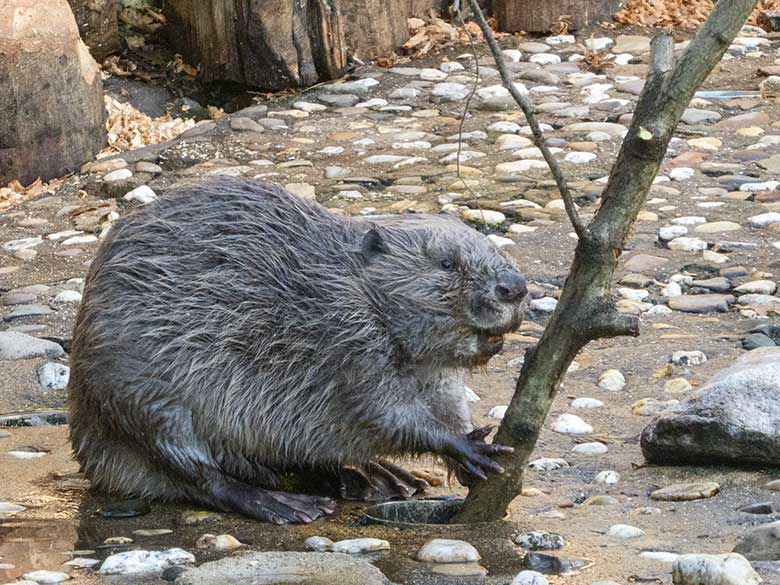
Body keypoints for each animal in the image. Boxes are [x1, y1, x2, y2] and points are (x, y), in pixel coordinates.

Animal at [68, 176, 532, 524]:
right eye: (447, 263)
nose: (515, 287)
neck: (351, 285)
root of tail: (93, 456)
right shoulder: (347, 342)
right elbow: (382, 412)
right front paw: (472, 450)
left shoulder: (433, 372)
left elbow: (448, 403)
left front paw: (470, 453)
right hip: (139, 395)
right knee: (194, 470)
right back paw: (290, 504)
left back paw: (379, 478)